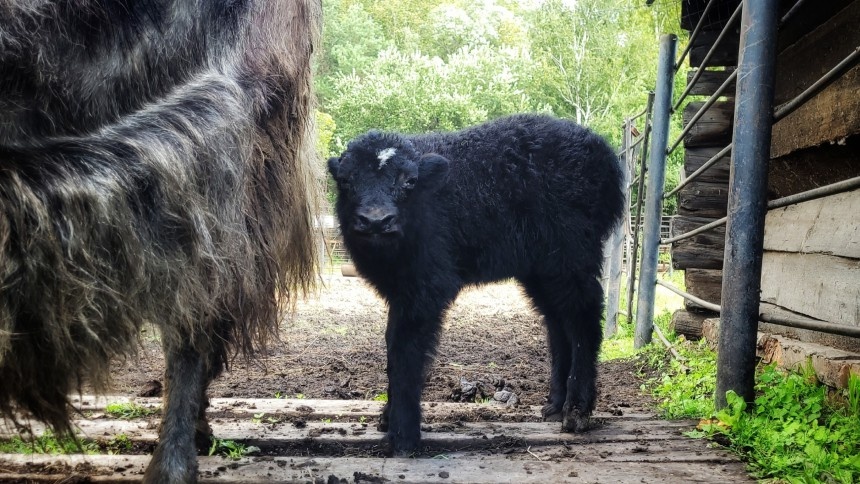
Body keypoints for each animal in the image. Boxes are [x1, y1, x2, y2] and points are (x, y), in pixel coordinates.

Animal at [330, 113, 624, 454]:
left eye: (409, 181)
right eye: (346, 181)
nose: (376, 221)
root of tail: (604, 154)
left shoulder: (427, 287)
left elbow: (406, 351)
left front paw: (403, 436)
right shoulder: (401, 292)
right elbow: (392, 345)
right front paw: (388, 418)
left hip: (573, 257)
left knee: (582, 321)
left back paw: (576, 411)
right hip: (542, 270)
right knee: (557, 321)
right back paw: (555, 405)